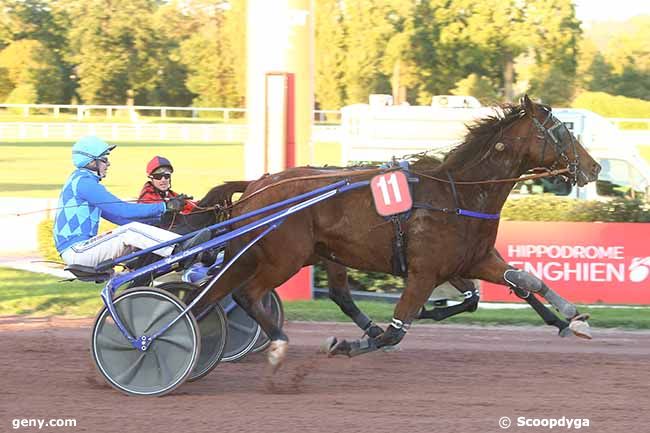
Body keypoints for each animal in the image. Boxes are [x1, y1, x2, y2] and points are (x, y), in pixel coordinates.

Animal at [196, 97, 596, 368]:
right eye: (562, 131)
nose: (593, 167)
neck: (460, 194)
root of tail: (257, 185)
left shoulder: (475, 260)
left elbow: (524, 281)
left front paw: (571, 319)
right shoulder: (424, 273)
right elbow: (397, 329)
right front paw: (349, 344)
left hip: (281, 254)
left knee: (217, 295)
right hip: (283, 258)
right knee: (246, 294)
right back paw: (277, 343)